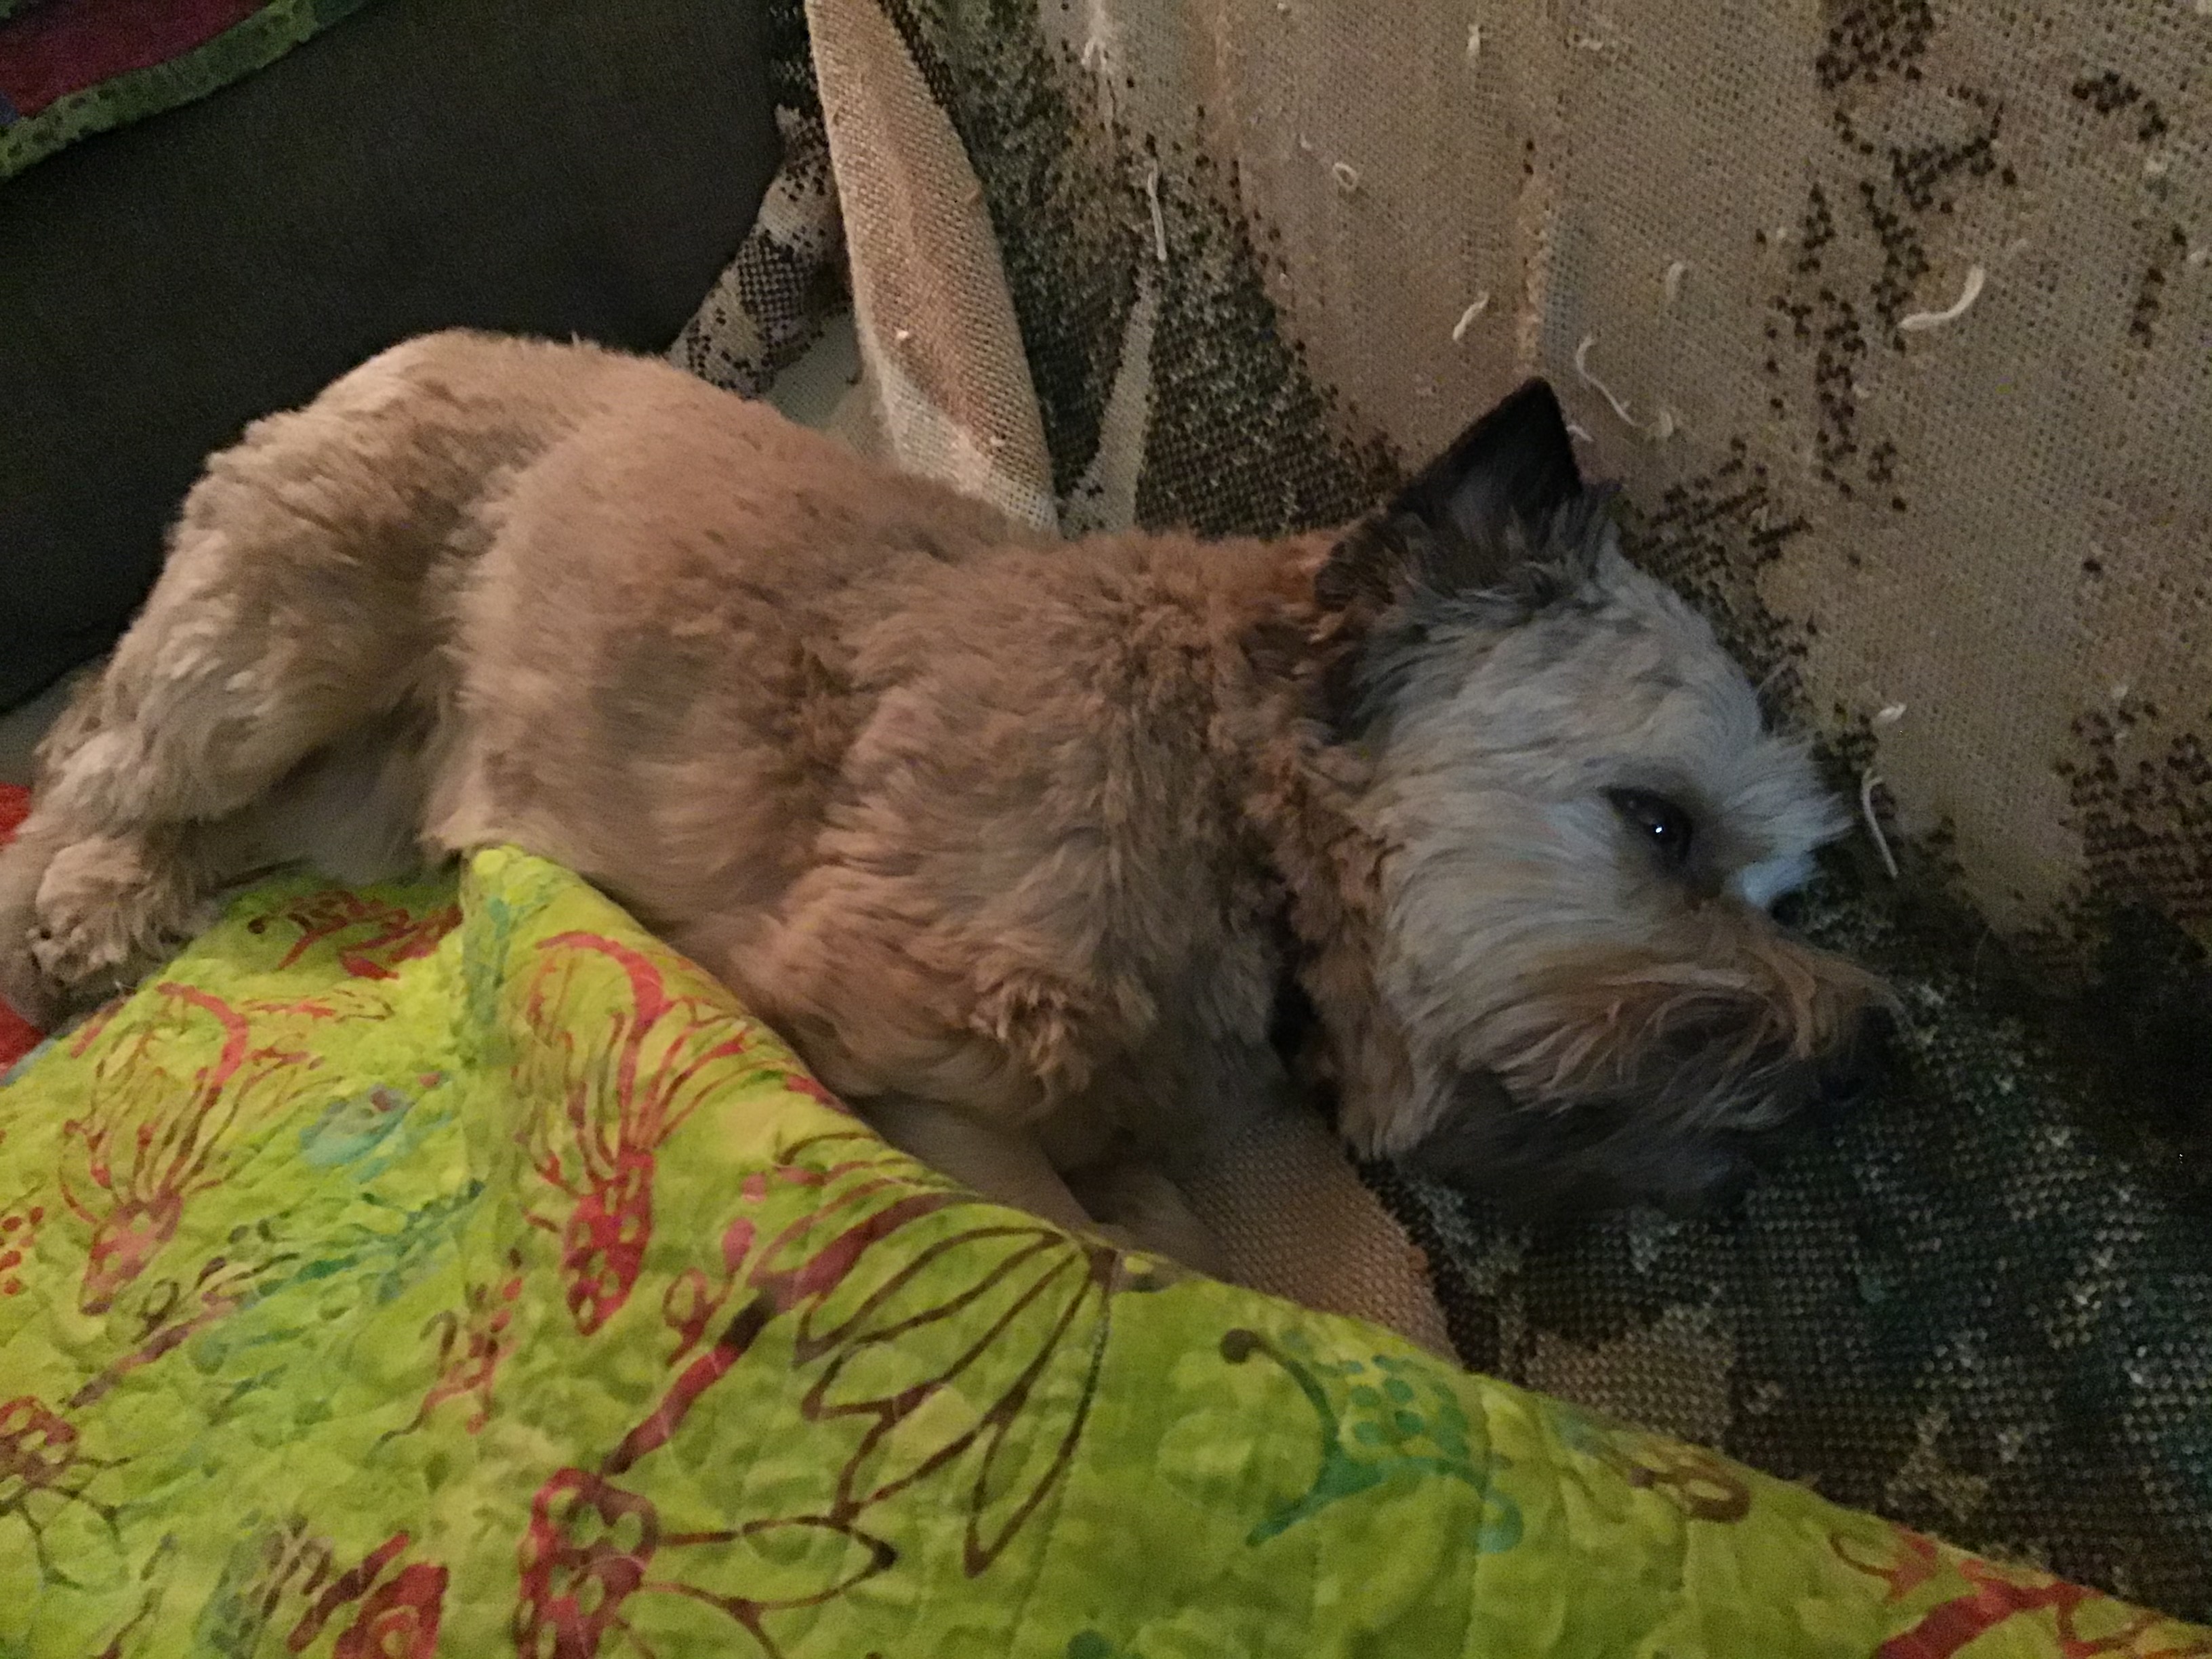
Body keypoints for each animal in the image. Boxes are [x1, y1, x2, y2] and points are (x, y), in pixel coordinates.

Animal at [0, 331, 1879, 1269]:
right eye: (1661, 827)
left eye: (1789, 890)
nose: (1864, 1058)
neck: (1217, 790)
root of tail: (387, 351)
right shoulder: (894, 1033)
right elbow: (1093, 1245)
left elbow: (1161, 1220)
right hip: (282, 643)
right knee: (99, 755)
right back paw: (81, 904)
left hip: (360, 781)